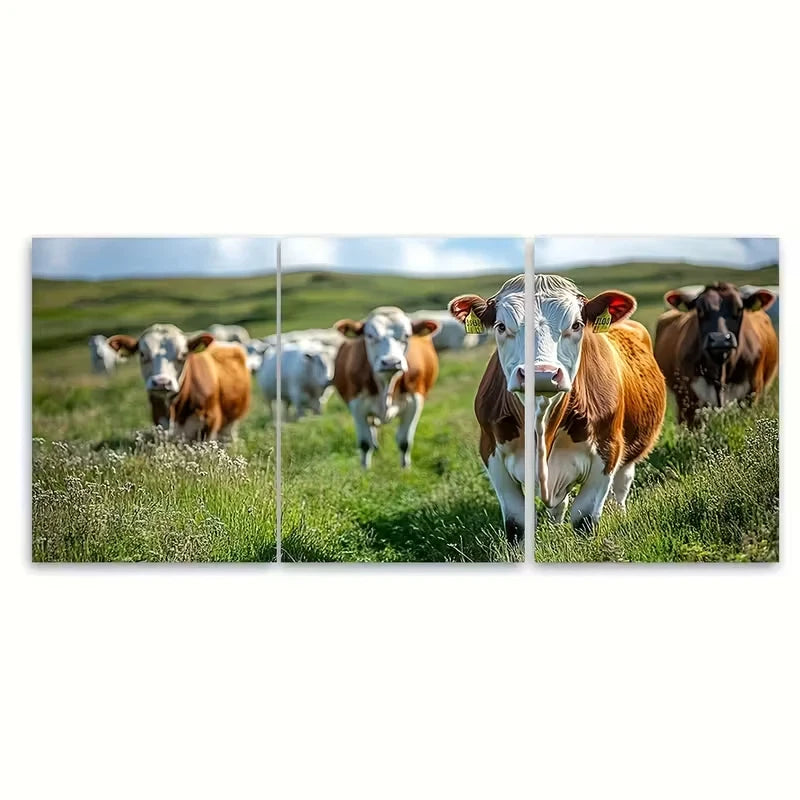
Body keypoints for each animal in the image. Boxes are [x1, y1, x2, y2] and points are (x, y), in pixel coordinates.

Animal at [107, 324, 251, 440]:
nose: (161, 382)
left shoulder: (210, 421)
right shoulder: (160, 422)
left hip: (231, 422)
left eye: (183, 354)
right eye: (142, 354)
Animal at [332, 307, 440, 468]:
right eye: (370, 335)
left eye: (406, 335)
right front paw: (365, 469)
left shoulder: (415, 403)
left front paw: (405, 469)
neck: (386, 384)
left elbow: (405, 442)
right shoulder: (357, 406)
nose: (391, 362)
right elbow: (365, 443)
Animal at [532, 274, 665, 533]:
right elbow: (558, 506)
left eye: (575, 325)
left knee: (622, 485)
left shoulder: (608, 447)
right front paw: (554, 531)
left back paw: (620, 512)